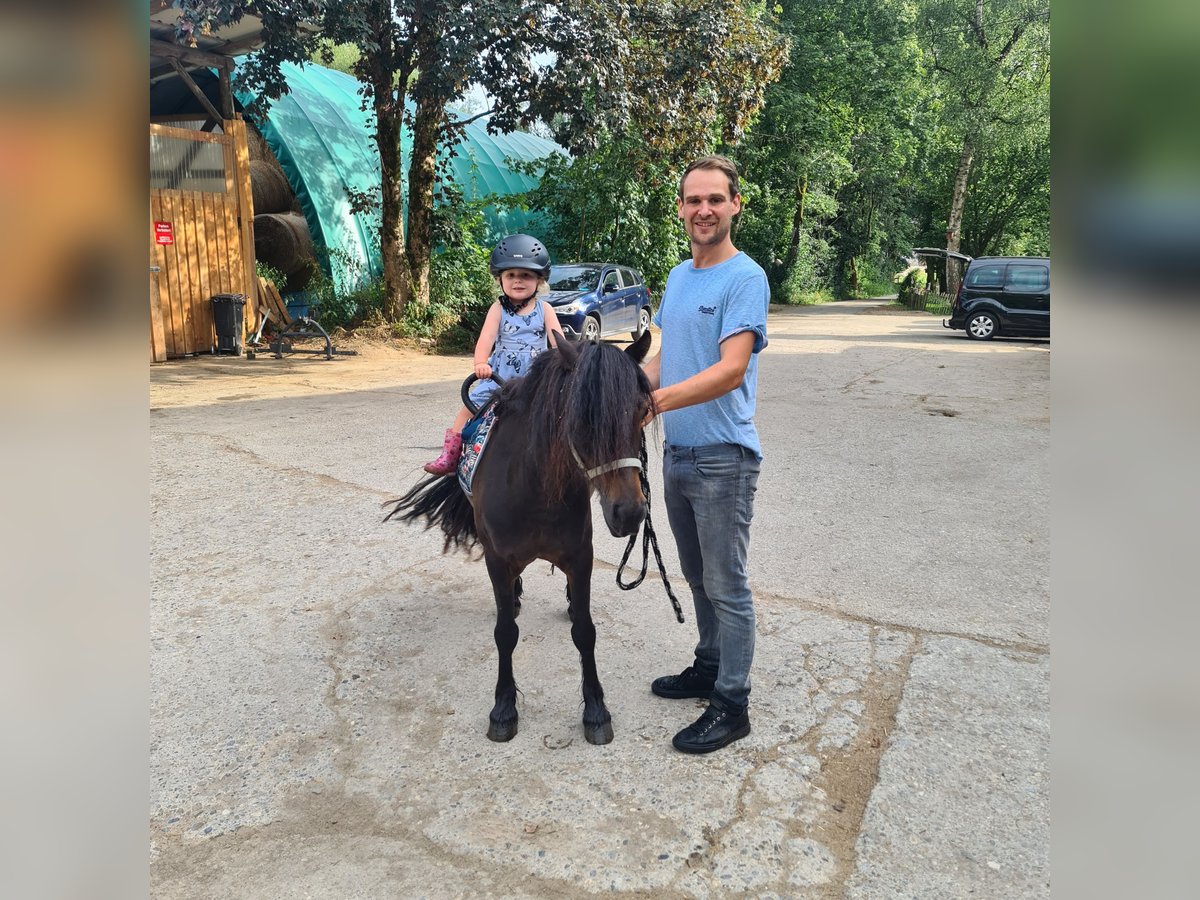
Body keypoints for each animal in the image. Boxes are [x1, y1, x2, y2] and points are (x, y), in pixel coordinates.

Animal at [384, 331, 652, 748]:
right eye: (581, 418)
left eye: (642, 411)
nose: (630, 513)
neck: (534, 485)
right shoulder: (498, 560)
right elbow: (505, 633)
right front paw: (503, 709)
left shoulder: (581, 557)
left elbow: (585, 631)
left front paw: (595, 711)